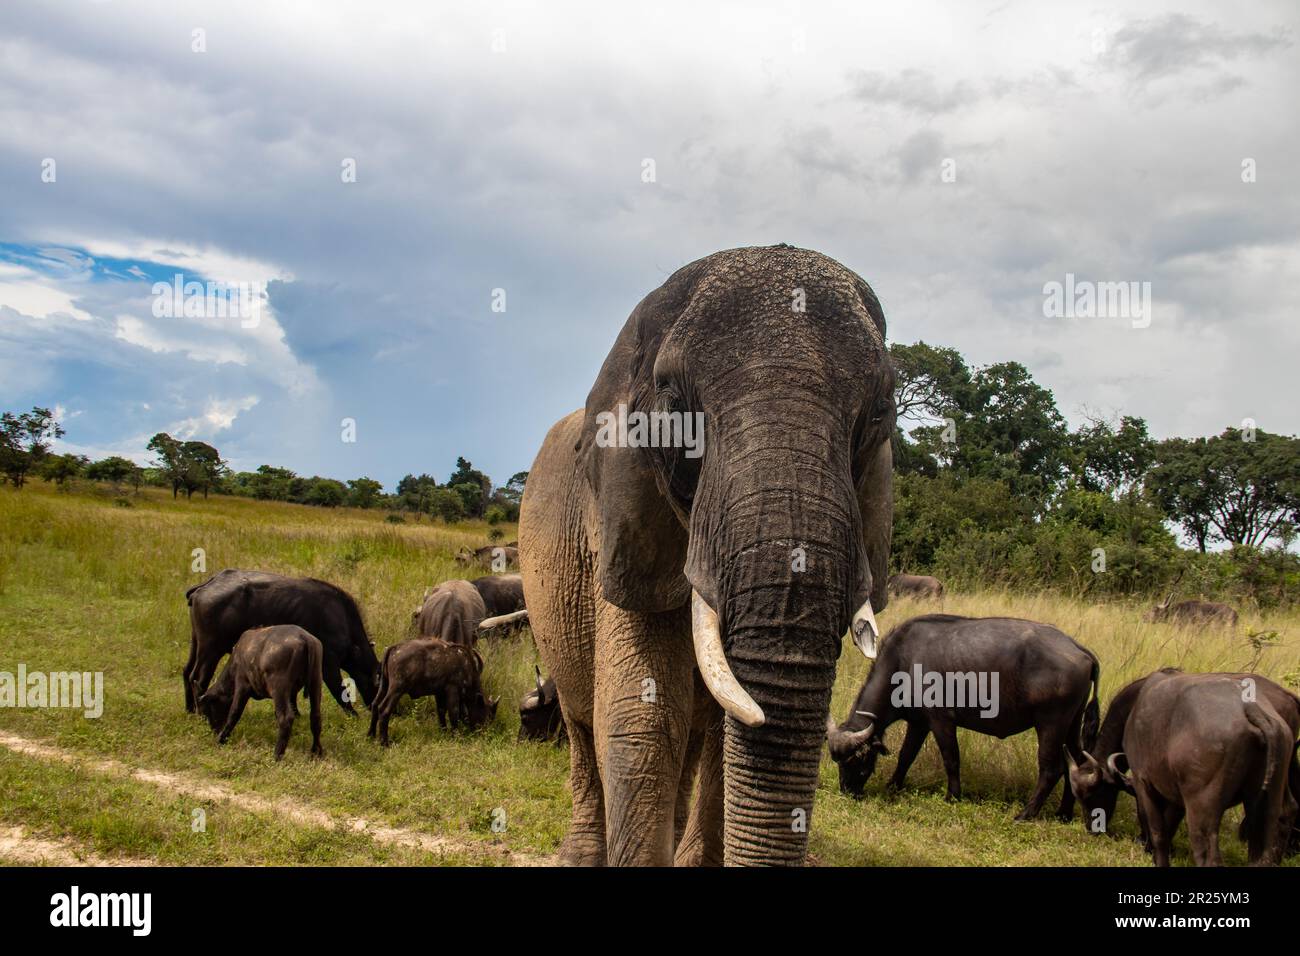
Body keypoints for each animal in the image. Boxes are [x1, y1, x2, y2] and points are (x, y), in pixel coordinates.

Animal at [184, 569, 379, 714]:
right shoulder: (329, 665)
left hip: (196, 643)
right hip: (211, 649)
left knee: (187, 672)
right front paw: (353, 715)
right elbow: (340, 692)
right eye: (380, 683)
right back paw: (200, 713)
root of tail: (206, 586)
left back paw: (190, 709)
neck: (340, 618)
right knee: (198, 679)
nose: (376, 707)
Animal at [197, 625, 324, 761]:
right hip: (315, 681)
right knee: (315, 716)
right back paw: (316, 751)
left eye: (207, 711)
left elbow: (234, 712)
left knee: (286, 718)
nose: (214, 730)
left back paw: (277, 755)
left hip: (279, 689)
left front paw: (221, 738)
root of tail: (305, 638)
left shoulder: (242, 685)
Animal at [518, 244, 895, 866]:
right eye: (672, 397)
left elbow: (722, 728)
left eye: (883, 409)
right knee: (580, 718)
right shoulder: (619, 518)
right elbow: (641, 714)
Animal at [827, 614, 1099, 821]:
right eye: (837, 761)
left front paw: (953, 796)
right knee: (1075, 762)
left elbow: (951, 759)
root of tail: (1079, 649)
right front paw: (893, 786)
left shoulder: (941, 721)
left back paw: (1026, 813)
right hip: (1072, 725)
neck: (904, 663)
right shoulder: (919, 723)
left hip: (1050, 724)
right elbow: (906, 756)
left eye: (857, 758)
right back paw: (1063, 813)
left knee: (1052, 769)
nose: (847, 791)